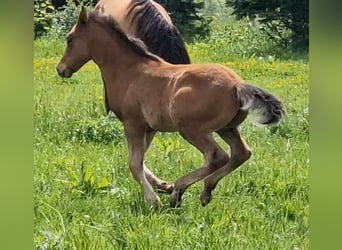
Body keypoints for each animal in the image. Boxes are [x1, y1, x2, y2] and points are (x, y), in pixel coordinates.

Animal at [56, 7, 286, 207]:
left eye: (69, 39)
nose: (61, 69)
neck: (128, 71)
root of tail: (238, 85)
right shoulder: (149, 129)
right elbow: (139, 161)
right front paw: (162, 186)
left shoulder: (133, 124)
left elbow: (134, 164)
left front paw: (154, 201)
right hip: (227, 128)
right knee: (241, 153)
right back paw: (204, 191)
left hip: (191, 129)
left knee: (217, 156)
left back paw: (179, 191)